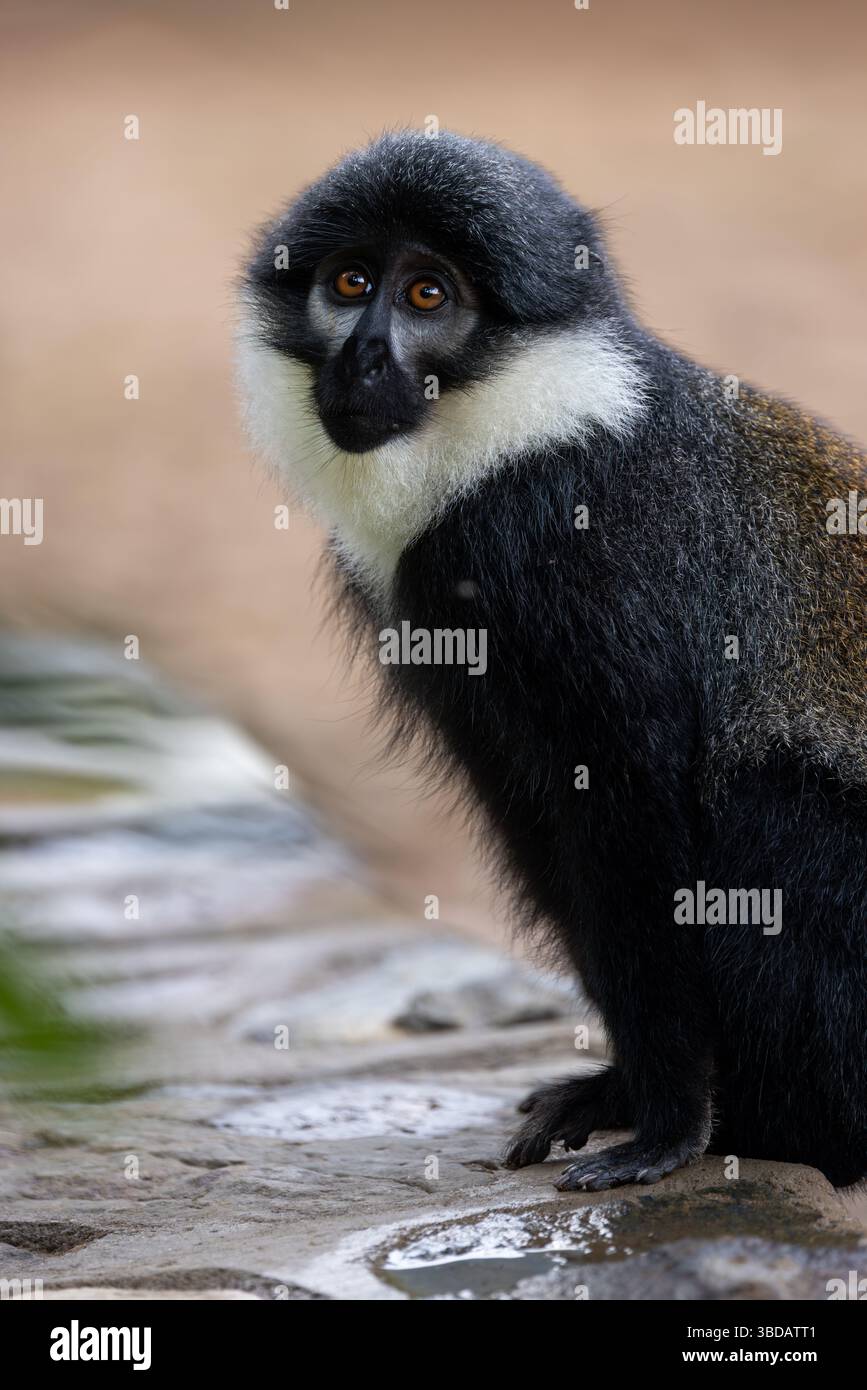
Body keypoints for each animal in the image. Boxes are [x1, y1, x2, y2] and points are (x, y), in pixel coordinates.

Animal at [237, 130, 867, 1192]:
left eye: (427, 296)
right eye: (351, 281)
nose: (363, 356)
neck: (519, 435)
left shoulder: (570, 556)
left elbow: (634, 819)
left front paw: (667, 1125)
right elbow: (542, 827)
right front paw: (625, 1092)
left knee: (766, 803)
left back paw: (793, 1128)